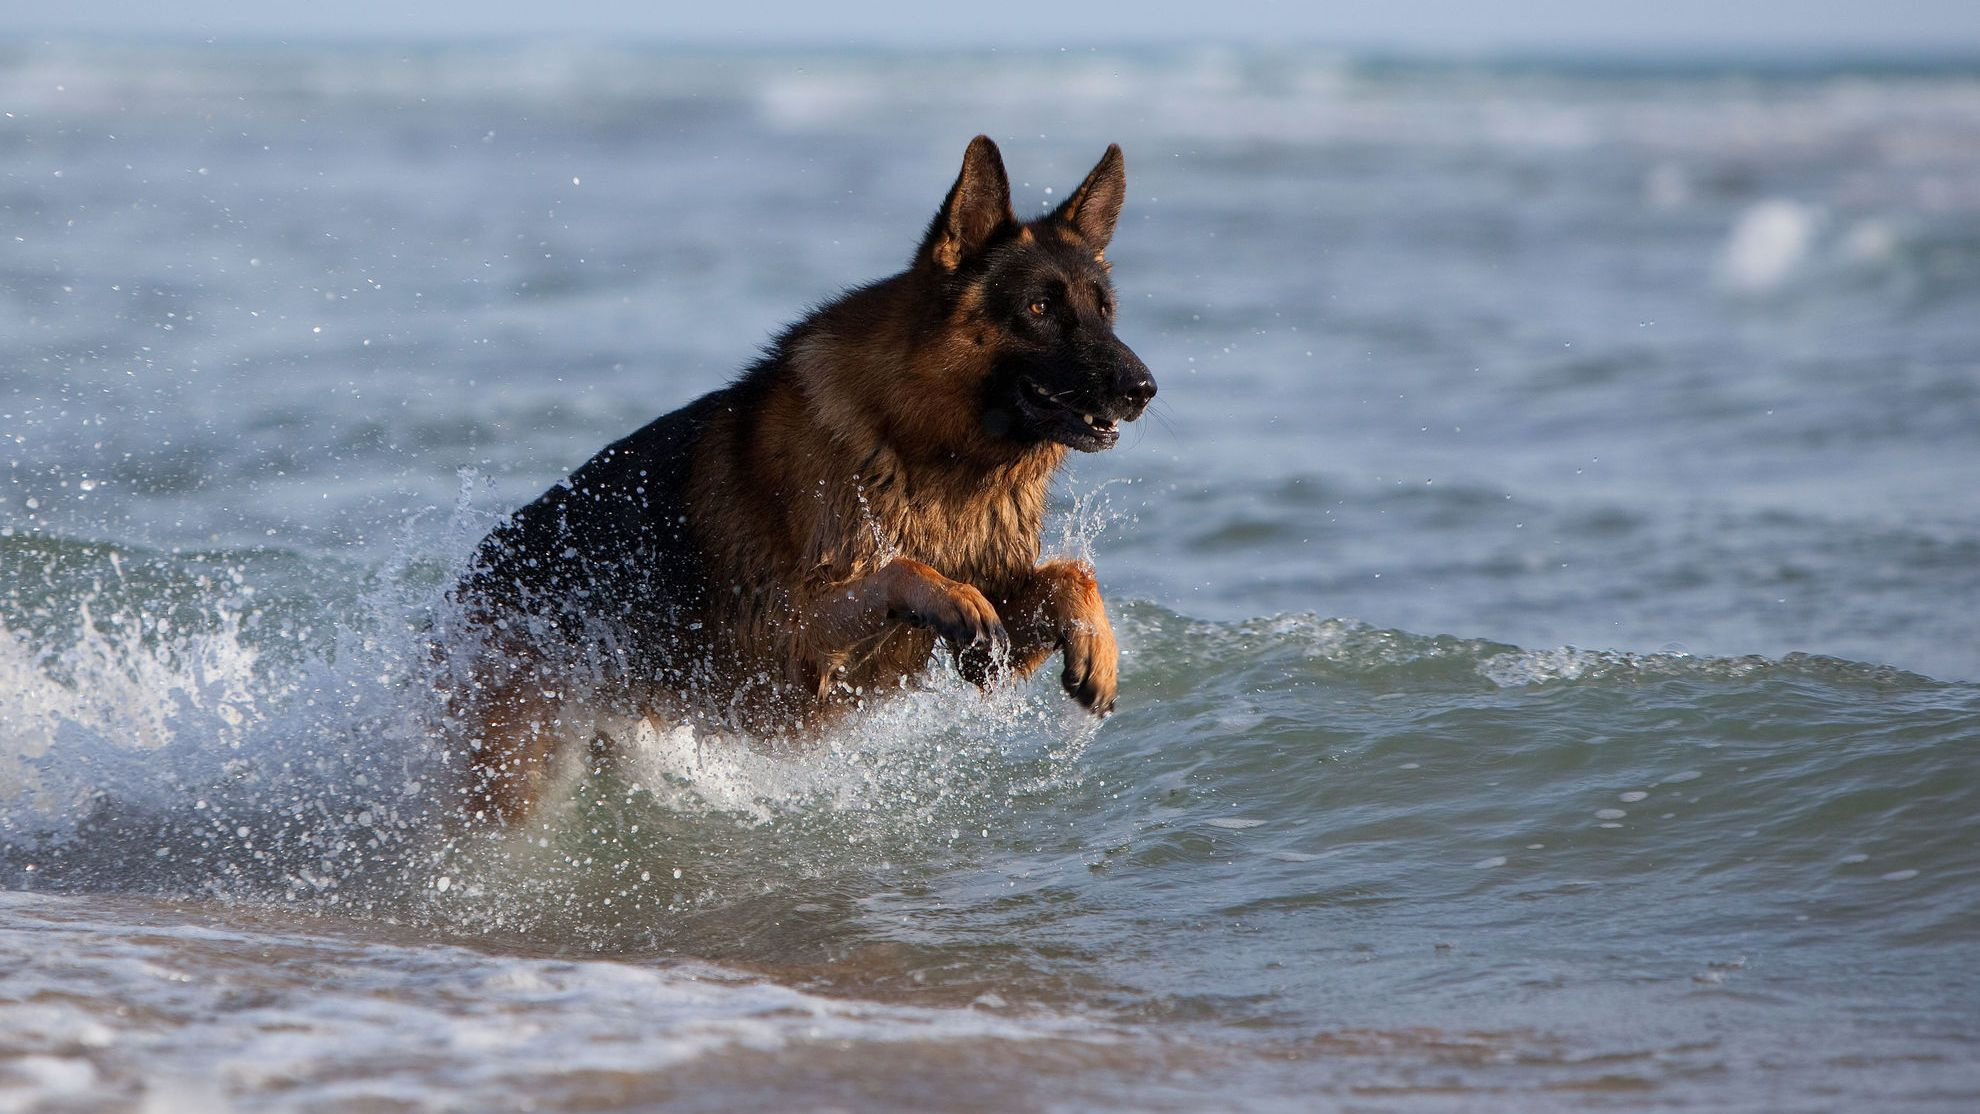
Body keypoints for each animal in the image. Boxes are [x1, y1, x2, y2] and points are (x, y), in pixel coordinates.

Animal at [445, 135, 1156, 823]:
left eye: (1104, 311)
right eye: (1039, 307)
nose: (1144, 389)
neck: (926, 453)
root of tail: (462, 594)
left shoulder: (984, 662)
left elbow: (1071, 575)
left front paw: (1097, 644)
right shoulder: (781, 647)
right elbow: (899, 569)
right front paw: (947, 592)